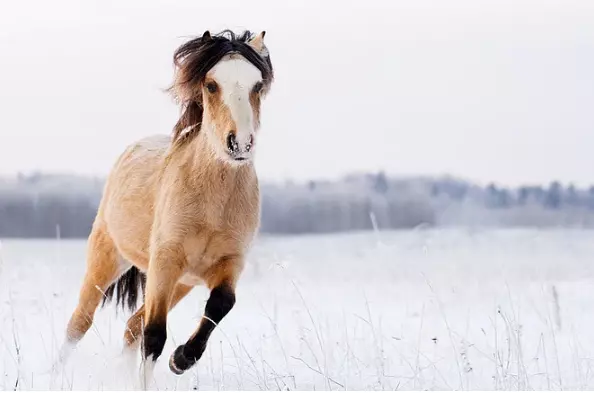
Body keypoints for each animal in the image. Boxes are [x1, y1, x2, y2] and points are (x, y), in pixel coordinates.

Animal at [60, 29, 272, 376]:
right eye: (211, 85)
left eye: (257, 85)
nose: (240, 144)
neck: (212, 205)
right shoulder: (165, 262)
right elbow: (154, 335)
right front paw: (173, 361)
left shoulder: (229, 263)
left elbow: (221, 304)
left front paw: (181, 359)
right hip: (108, 257)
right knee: (79, 323)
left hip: (182, 283)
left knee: (131, 326)